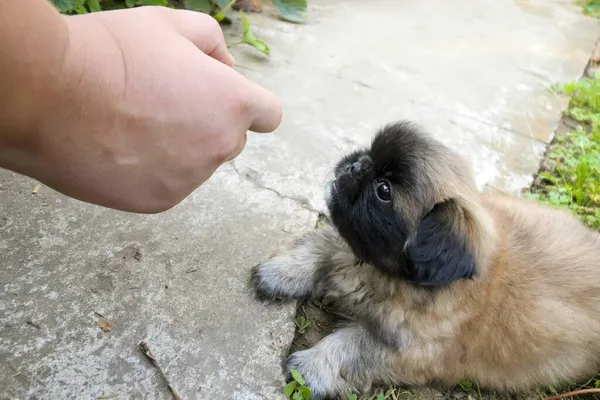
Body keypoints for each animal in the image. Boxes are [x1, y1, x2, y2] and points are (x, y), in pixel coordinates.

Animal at [251, 122, 600, 400]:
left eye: (383, 190)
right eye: (370, 157)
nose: (356, 165)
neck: (382, 273)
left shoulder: (408, 351)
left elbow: (351, 345)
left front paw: (310, 365)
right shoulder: (345, 249)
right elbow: (319, 252)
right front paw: (280, 272)